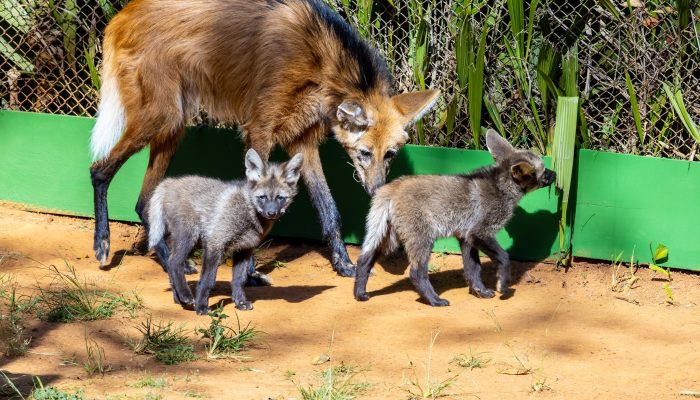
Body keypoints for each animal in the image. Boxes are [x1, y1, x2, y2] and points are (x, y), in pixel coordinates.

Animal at [89, 0, 440, 280]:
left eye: (390, 154)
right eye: (365, 153)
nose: (377, 190)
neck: (321, 64)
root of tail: (122, 14)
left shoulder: (302, 142)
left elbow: (330, 210)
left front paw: (344, 265)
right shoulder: (259, 129)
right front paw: (249, 272)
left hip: (174, 123)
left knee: (142, 201)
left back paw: (172, 262)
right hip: (162, 116)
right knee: (99, 169)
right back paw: (103, 244)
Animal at [147, 149, 303, 314]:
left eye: (280, 198)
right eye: (262, 197)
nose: (271, 213)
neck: (247, 213)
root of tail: (169, 182)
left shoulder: (244, 249)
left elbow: (239, 280)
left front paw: (240, 302)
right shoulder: (215, 243)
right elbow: (208, 280)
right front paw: (201, 307)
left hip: (194, 243)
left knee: (171, 264)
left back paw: (179, 300)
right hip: (189, 238)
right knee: (173, 263)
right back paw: (185, 296)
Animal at [353, 130, 556, 306]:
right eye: (543, 171)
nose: (555, 174)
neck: (501, 189)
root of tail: (391, 187)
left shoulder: (467, 238)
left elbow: (473, 270)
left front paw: (480, 291)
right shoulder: (480, 233)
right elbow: (504, 258)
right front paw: (503, 285)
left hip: (388, 240)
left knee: (363, 260)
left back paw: (359, 293)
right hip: (422, 241)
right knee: (416, 273)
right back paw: (434, 300)